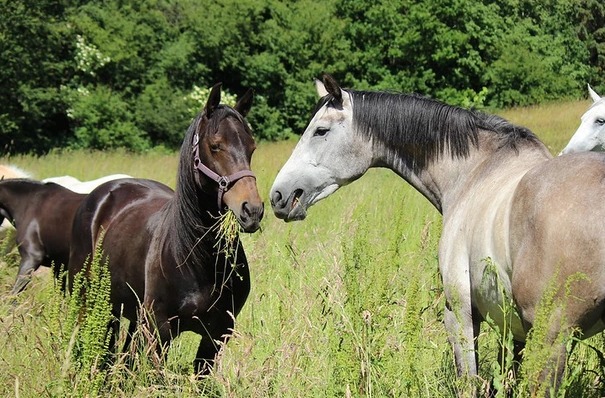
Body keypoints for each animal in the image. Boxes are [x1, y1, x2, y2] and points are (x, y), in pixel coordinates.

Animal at [67, 82, 264, 374]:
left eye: (251, 147)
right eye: (215, 146)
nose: (252, 210)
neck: (197, 257)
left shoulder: (216, 336)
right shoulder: (159, 331)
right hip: (89, 302)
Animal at [270, 74, 605, 392]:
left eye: (320, 131)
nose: (278, 195)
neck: (476, 171)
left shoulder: (460, 314)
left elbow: (468, 381)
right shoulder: (513, 329)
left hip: (552, 340)